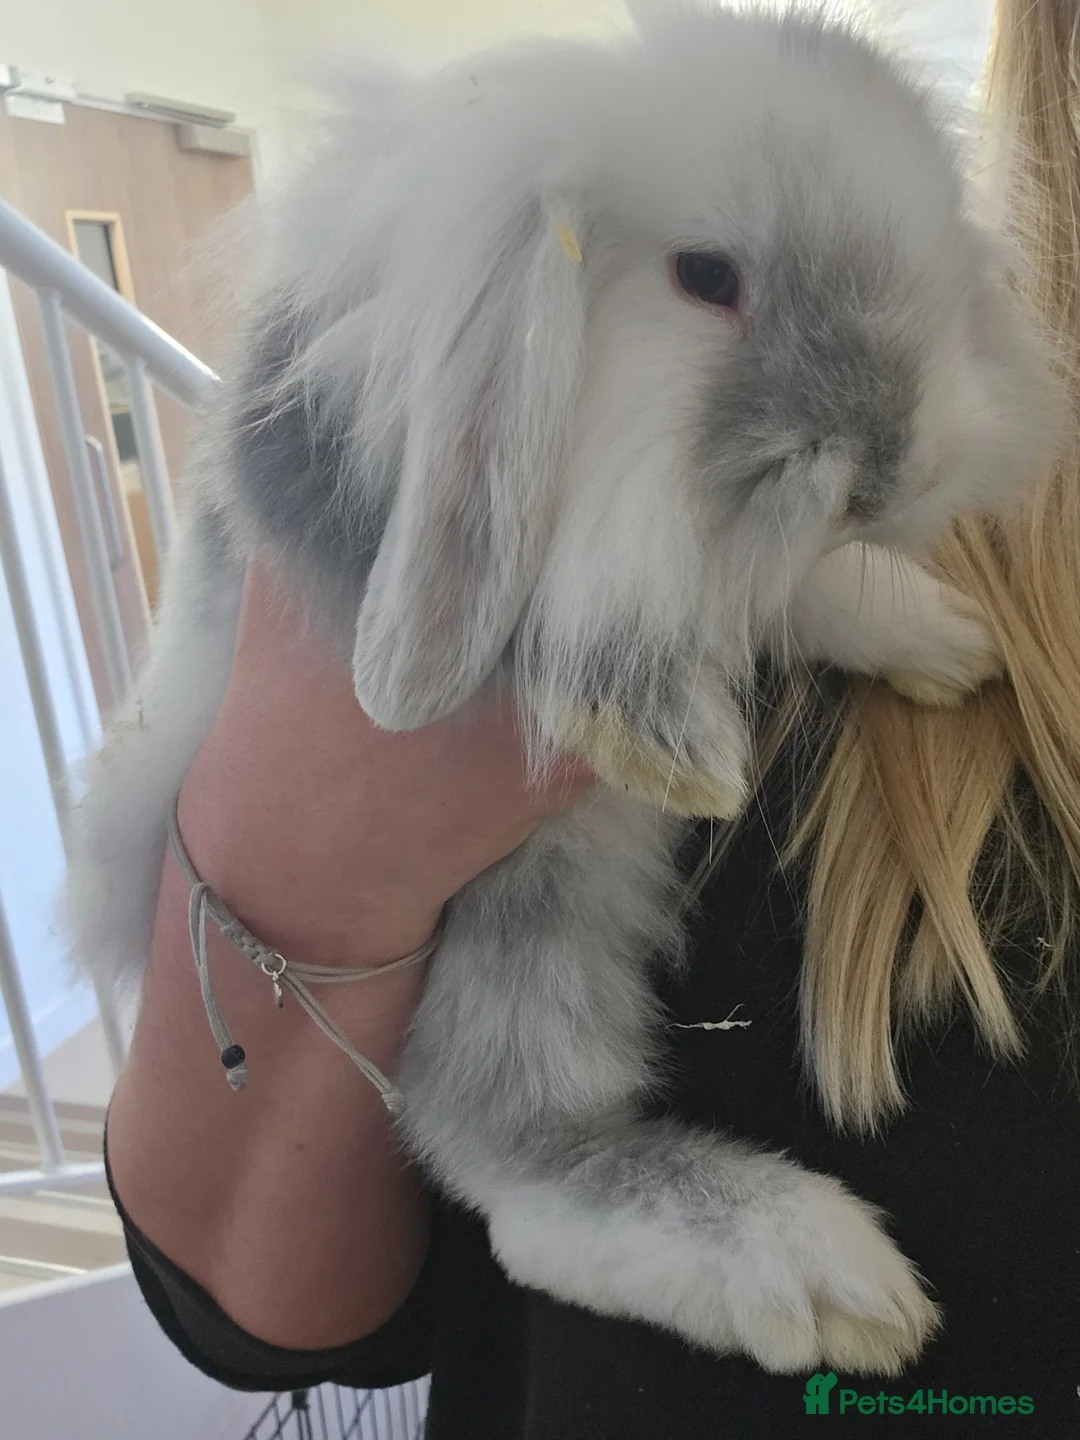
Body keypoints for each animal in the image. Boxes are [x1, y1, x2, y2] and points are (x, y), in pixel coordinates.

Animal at [67, 6, 1063, 1376]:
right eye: (706, 278)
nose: (892, 470)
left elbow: (788, 586)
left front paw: (943, 641)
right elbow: (587, 620)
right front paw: (674, 750)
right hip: (534, 911)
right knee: (517, 1170)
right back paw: (811, 1274)